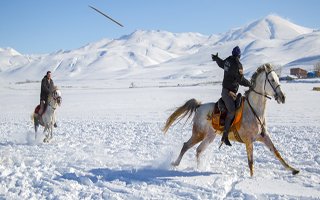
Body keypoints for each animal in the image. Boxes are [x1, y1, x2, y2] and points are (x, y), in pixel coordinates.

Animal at [164, 63, 298, 176]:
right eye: (272, 80)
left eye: (278, 79)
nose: (282, 97)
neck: (254, 111)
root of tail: (199, 106)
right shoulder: (249, 141)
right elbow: (251, 162)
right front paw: (252, 178)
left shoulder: (264, 137)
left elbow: (277, 153)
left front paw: (293, 170)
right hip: (198, 134)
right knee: (186, 146)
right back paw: (175, 163)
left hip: (210, 136)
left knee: (199, 150)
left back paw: (199, 169)